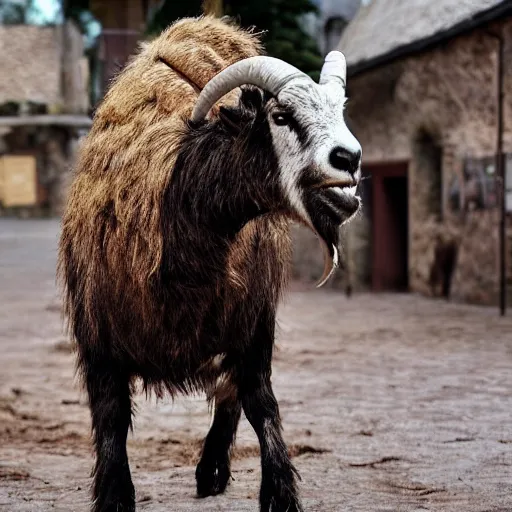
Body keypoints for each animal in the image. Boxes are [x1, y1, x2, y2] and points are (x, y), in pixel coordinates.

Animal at [58, 15, 362, 512]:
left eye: (341, 111)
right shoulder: (98, 334)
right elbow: (111, 415)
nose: (350, 159)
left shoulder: (254, 322)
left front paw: (279, 493)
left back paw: (212, 469)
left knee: (229, 391)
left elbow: (260, 402)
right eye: (281, 116)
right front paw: (115, 495)